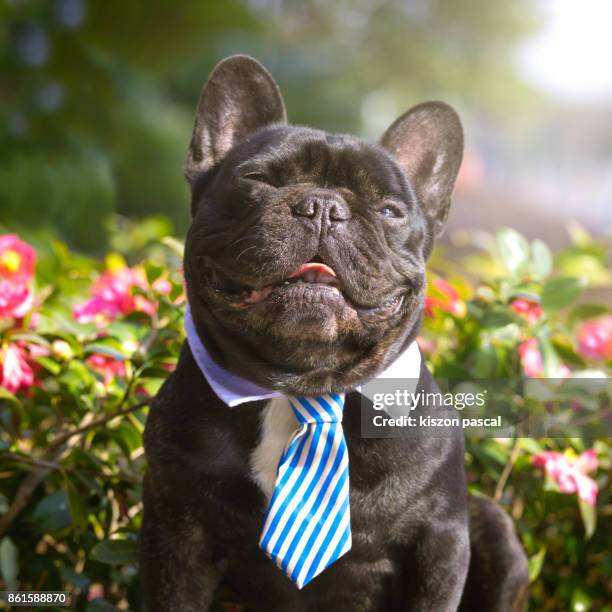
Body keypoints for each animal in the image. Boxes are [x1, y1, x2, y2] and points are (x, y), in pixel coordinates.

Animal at [140, 55, 532, 608]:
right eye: (258, 179)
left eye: (389, 210)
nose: (323, 206)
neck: (303, 387)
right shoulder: (174, 528)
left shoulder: (440, 542)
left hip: (492, 523)